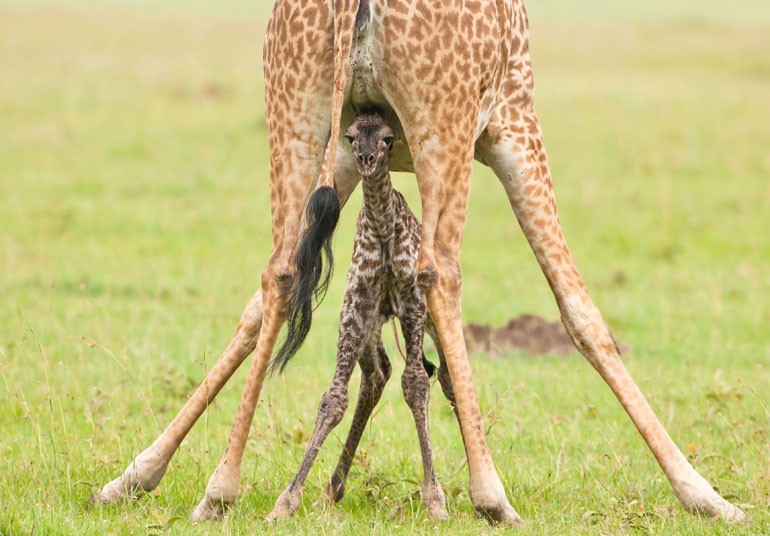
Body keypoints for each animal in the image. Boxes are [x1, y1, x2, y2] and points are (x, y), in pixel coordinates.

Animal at [268, 110, 456, 524]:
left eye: (388, 138)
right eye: (351, 136)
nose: (366, 160)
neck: (384, 232)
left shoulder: (412, 304)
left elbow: (417, 384)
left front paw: (434, 497)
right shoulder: (356, 305)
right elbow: (334, 397)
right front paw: (287, 499)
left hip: (429, 320)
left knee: (447, 379)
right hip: (372, 326)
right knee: (377, 375)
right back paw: (331, 489)